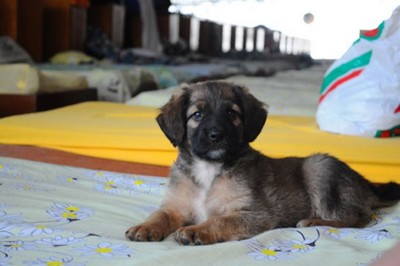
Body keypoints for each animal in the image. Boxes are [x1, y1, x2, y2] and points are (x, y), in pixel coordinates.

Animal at [126, 80, 400, 245]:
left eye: (231, 114)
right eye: (197, 114)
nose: (216, 135)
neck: (209, 169)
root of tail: (365, 184)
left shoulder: (255, 213)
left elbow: (219, 220)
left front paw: (197, 231)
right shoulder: (177, 206)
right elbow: (160, 214)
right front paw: (145, 227)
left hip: (319, 168)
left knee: (361, 218)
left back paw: (313, 221)